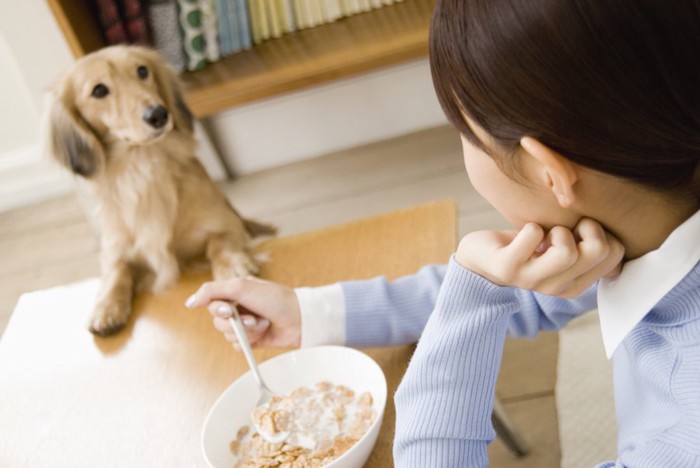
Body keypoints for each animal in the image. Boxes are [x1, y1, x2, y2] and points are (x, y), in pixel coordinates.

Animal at [45, 45, 274, 334]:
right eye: (98, 90)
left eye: (142, 71)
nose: (158, 115)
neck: (144, 168)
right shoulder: (116, 250)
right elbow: (116, 272)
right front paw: (106, 307)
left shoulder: (226, 225)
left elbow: (220, 245)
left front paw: (232, 270)